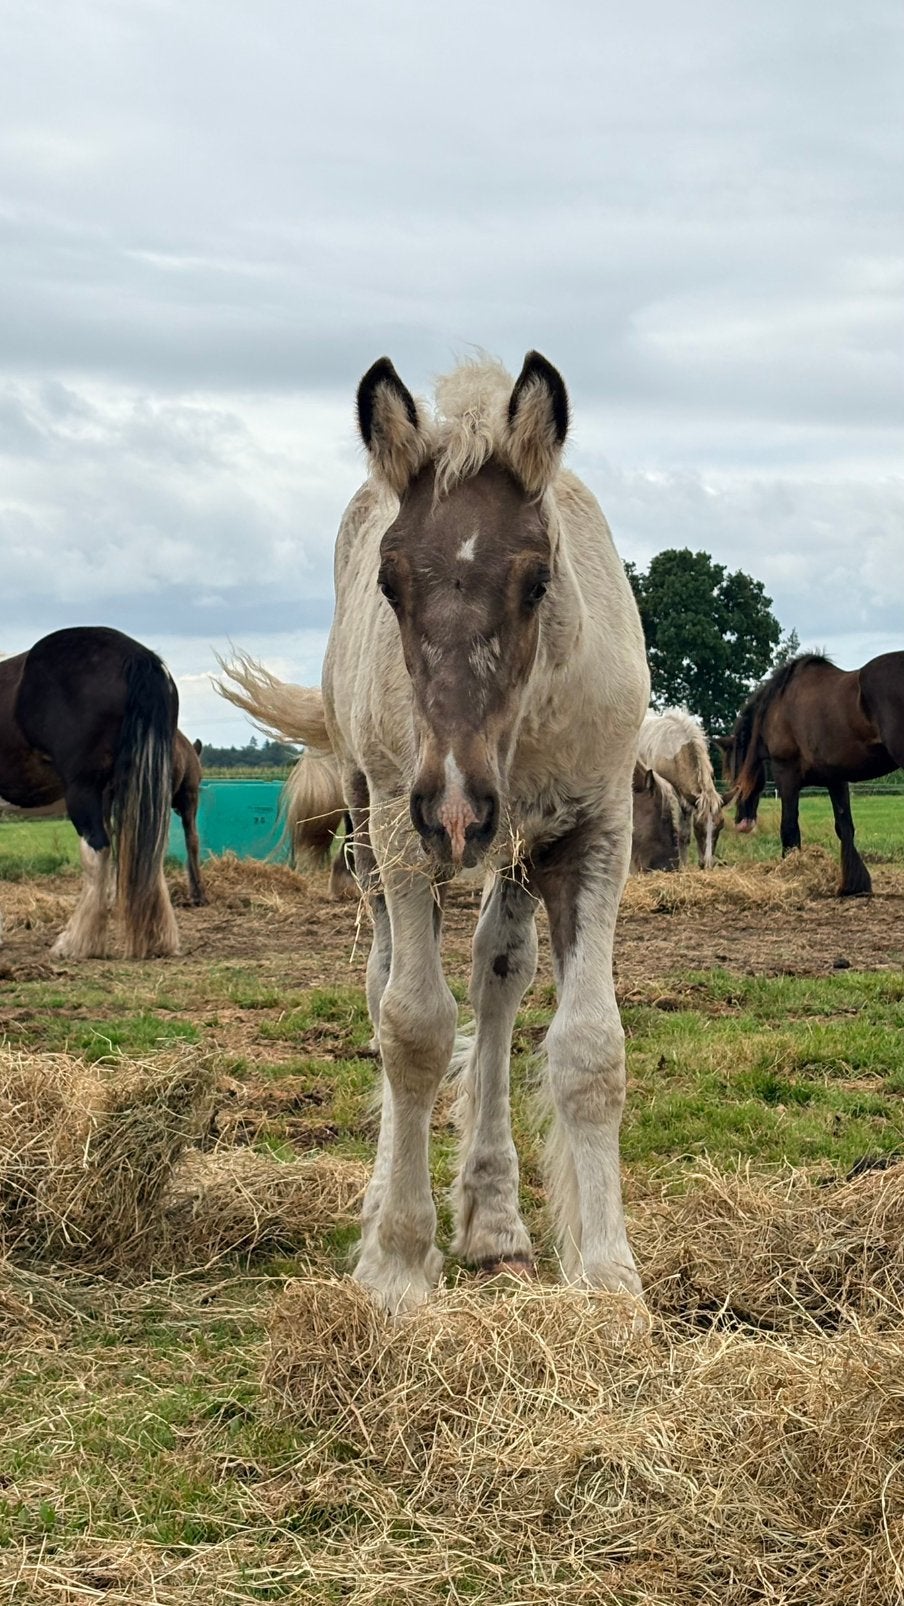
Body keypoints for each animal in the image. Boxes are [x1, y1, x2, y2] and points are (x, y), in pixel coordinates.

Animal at [219, 351, 650, 1314]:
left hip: (511, 855)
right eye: (389, 582)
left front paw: (608, 1277)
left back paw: (496, 1223)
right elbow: (412, 1027)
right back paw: (391, 1202)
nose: (457, 809)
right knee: (386, 988)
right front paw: (398, 1264)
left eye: (537, 581)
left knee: (498, 979)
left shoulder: (597, 831)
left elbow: (590, 1047)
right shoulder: (400, 824)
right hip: (376, 835)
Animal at [637, 707, 724, 868]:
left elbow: (685, 835)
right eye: (698, 828)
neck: (674, 750)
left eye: (721, 827)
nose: (707, 864)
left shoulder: (687, 800)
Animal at [720, 651, 904, 896]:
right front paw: (852, 885)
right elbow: (845, 827)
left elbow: (789, 827)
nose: (742, 822)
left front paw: (792, 874)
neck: (777, 707)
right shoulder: (836, 779)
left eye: (734, 775)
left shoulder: (786, 774)